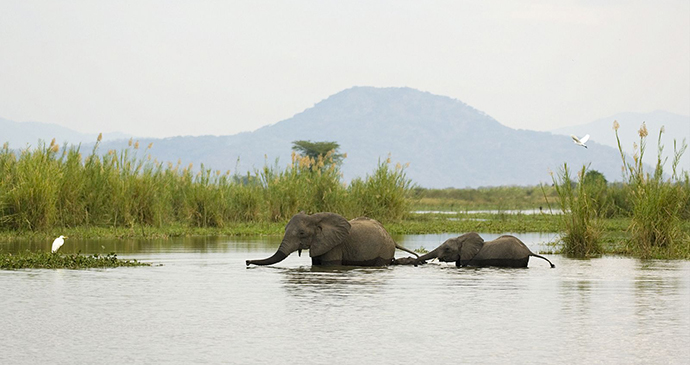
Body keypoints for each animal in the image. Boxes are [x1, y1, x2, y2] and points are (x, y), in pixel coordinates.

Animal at [245, 212, 416, 266]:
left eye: (301, 233)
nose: (247, 261)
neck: (316, 218)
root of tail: (392, 239)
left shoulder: (334, 246)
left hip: (384, 250)